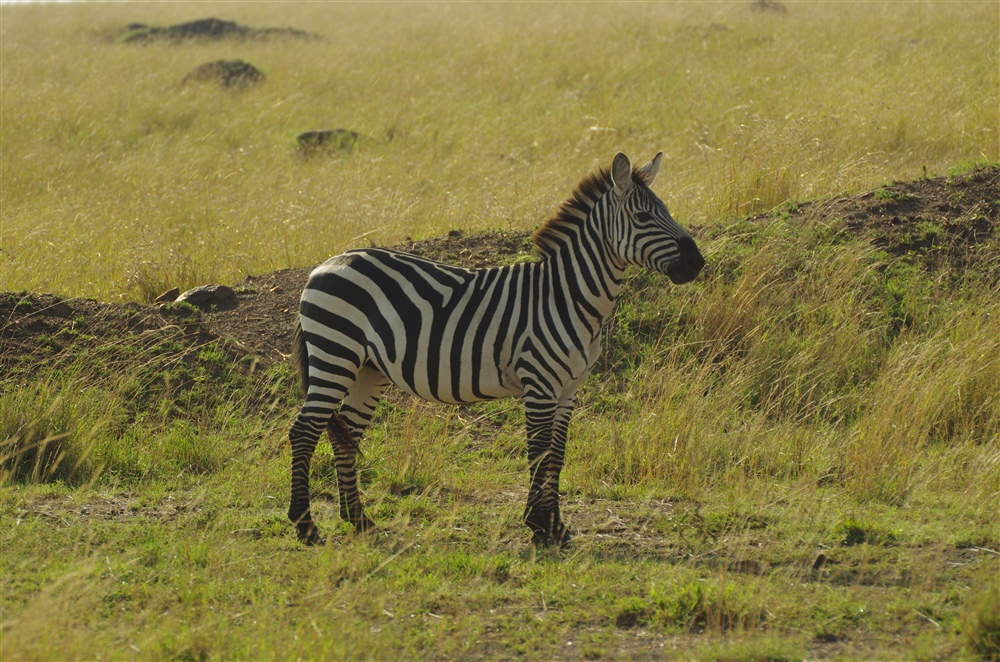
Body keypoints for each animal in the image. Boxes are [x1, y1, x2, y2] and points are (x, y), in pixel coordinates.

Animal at [286, 152, 700, 548]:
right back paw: (305, 526)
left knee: (345, 435)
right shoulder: (540, 384)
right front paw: (540, 527)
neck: (567, 296)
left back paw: (360, 521)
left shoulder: (568, 390)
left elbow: (557, 455)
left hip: (367, 370)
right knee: (304, 431)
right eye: (643, 216)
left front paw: (558, 527)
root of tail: (323, 266)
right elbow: (539, 453)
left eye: (665, 210)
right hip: (335, 355)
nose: (697, 262)